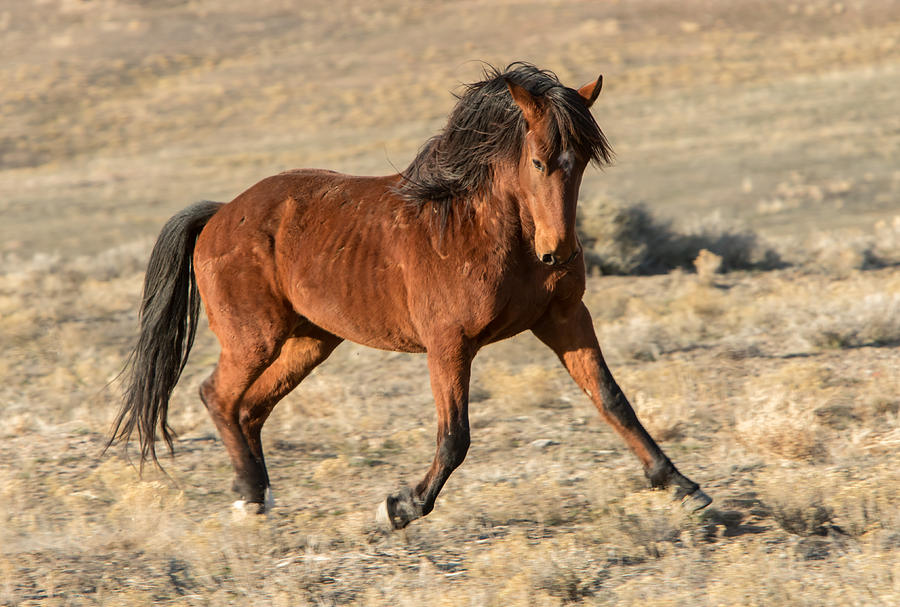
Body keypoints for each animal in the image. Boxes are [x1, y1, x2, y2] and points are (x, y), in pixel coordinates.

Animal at [107, 60, 712, 528]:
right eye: (538, 161)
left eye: (581, 161)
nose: (556, 253)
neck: (485, 229)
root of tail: (219, 215)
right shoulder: (449, 345)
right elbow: (455, 438)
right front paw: (400, 508)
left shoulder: (564, 319)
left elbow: (612, 399)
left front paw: (681, 485)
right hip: (254, 339)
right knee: (218, 396)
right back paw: (251, 500)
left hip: (310, 342)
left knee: (250, 408)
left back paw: (258, 491)